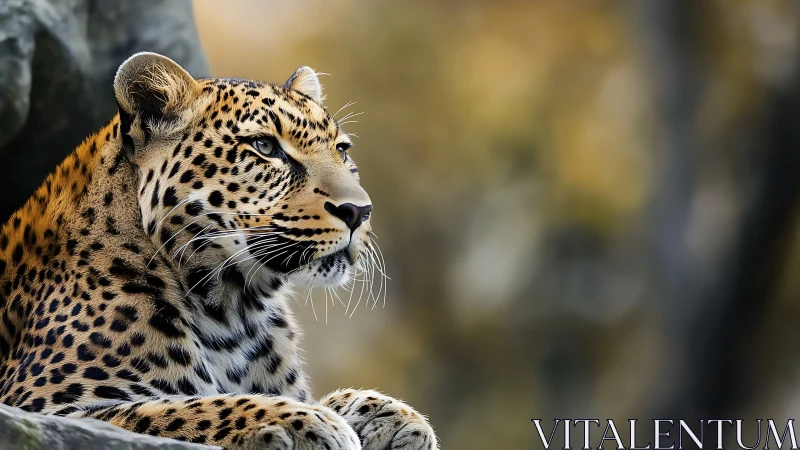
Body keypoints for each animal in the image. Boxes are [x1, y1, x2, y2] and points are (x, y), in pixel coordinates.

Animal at [0, 52, 437, 449]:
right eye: (264, 146)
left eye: (342, 151)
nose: (359, 211)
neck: (234, 310)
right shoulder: (44, 407)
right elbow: (182, 408)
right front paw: (304, 423)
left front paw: (390, 416)